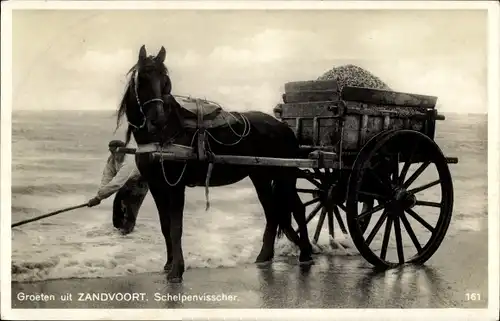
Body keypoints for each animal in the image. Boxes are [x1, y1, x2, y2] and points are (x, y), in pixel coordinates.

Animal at [115, 44, 314, 280]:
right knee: (272, 211)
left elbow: (176, 227)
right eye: (143, 78)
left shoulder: (175, 186)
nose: (158, 120)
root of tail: (284, 127)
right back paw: (265, 256)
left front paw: (177, 269)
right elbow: (165, 226)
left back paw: (305, 253)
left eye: (165, 80)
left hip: (284, 175)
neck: (165, 134)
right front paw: (169, 263)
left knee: (298, 209)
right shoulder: (156, 186)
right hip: (261, 176)